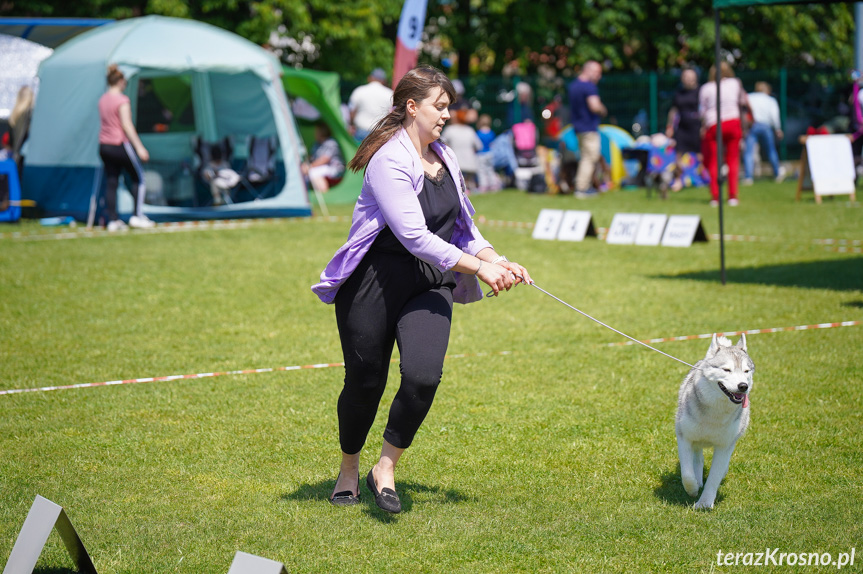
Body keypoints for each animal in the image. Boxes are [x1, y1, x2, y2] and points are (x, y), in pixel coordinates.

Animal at [680, 336, 752, 510]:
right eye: (726, 370)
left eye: (746, 371)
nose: (743, 386)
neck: (715, 413)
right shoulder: (684, 437)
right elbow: (687, 473)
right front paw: (692, 489)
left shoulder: (724, 446)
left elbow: (714, 476)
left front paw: (705, 503)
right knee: (697, 458)